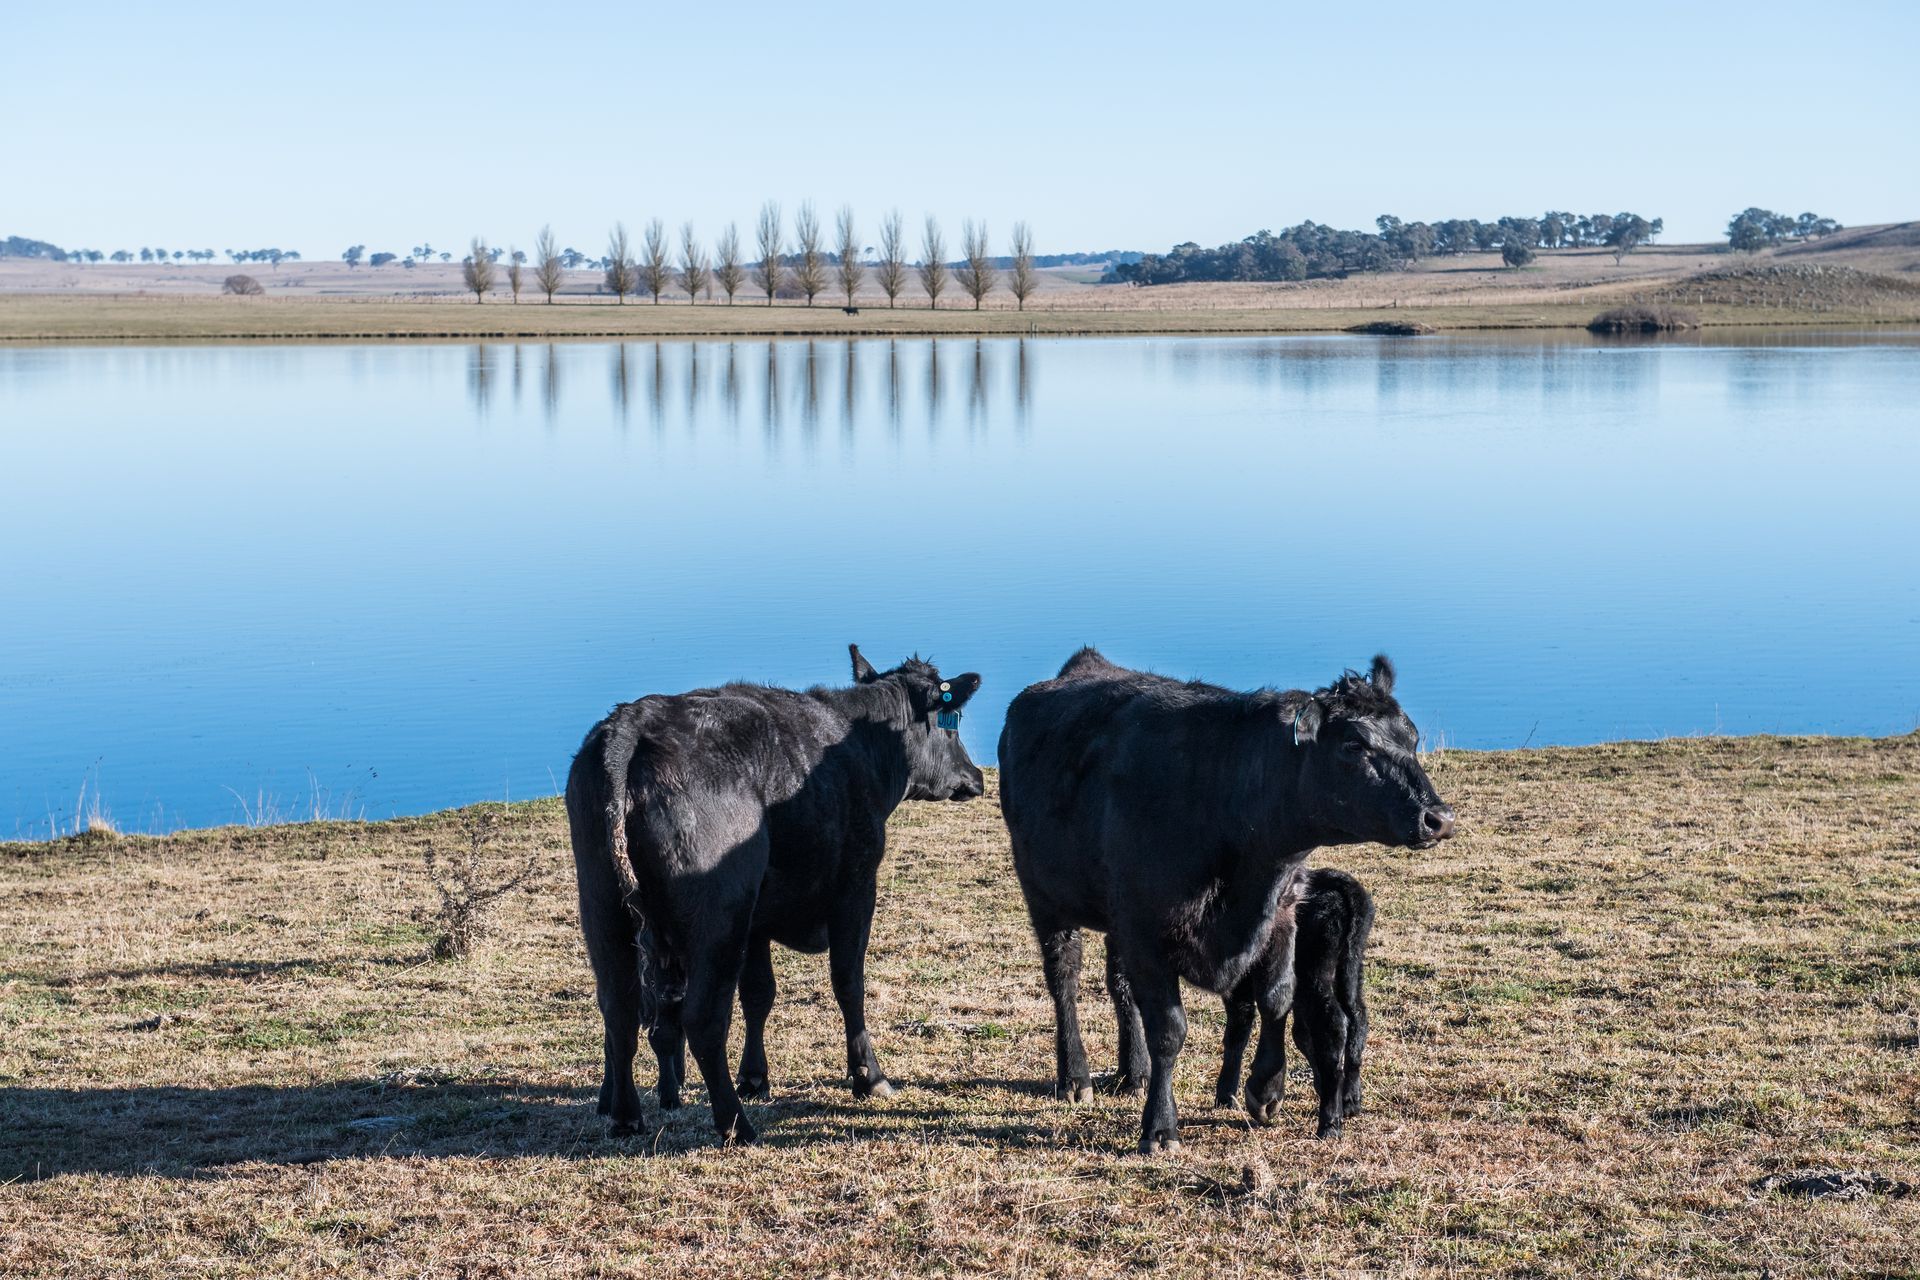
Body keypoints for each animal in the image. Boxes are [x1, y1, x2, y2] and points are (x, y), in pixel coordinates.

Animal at [566, 645, 984, 1146]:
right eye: (952, 721)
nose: (977, 777)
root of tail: (631, 724)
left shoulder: (759, 920)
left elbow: (760, 993)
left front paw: (755, 1076)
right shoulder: (855, 887)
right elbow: (848, 983)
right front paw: (869, 1076)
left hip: (604, 912)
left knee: (619, 1011)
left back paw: (626, 1115)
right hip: (717, 920)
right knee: (702, 1019)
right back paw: (735, 1124)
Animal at [1214, 867, 1375, 1138]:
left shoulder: (1239, 981)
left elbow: (1239, 1028)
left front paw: (1226, 1095)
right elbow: (1299, 1033)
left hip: (1313, 974)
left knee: (1332, 1024)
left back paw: (1329, 1124)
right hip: (1350, 966)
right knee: (1356, 1017)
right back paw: (1350, 1100)